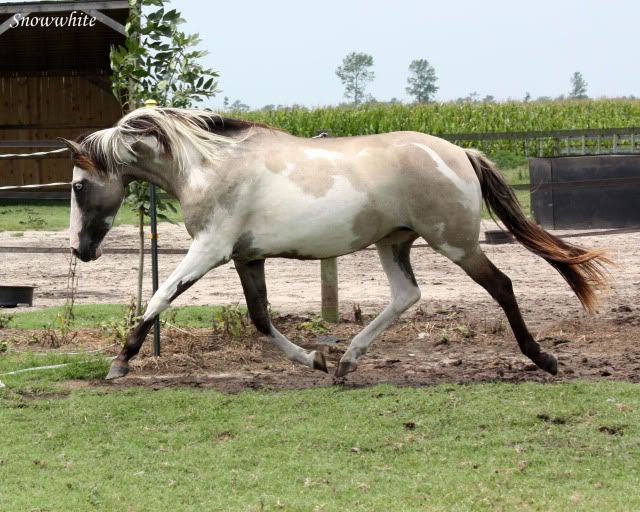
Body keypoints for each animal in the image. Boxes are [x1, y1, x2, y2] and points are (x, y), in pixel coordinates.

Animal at [58, 108, 608, 380]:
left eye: (78, 186)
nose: (80, 250)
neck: (209, 165)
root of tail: (459, 152)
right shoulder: (246, 257)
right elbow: (260, 319)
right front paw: (315, 360)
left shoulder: (209, 250)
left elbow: (159, 297)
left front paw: (120, 362)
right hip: (394, 242)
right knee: (406, 295)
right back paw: (346, 362)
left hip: (455, 243)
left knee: (503, 285)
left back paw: (544, 359)